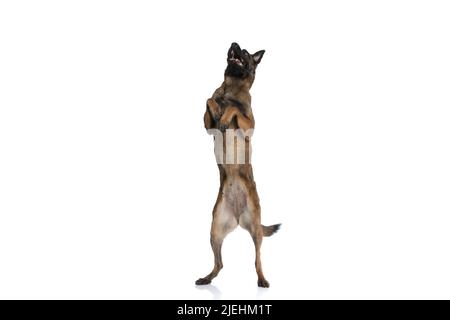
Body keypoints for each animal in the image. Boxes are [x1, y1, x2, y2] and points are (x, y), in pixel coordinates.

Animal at [198, 42, 282, 288]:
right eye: (238, 49)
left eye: (244, 53)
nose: (235, 44)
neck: (231, 89)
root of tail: (237, 215)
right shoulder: (207, 124)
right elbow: (209, 99)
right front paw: (218, 107)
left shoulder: (248, 125)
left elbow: (234, 109)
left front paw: (226, 115)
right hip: (215, 231)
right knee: (219, 265)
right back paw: (206, 278)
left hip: (255, 230)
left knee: (257, 261)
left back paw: (262, 280)